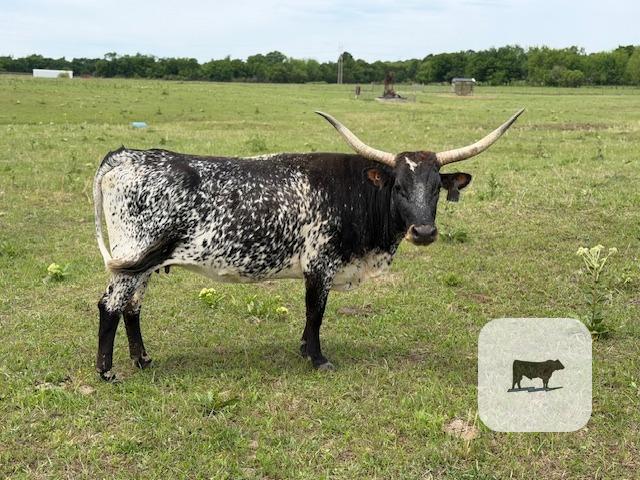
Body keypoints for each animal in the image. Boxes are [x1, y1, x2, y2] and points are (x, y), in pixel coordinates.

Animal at [93, 109, 524, 381]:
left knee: (132, 308)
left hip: (144, 263)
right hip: (131, 257)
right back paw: (107, 371)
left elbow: (311, 316)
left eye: (435, 187)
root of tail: (124, 156)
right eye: (399, 187)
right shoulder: (321, 263)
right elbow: (316, 312)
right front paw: (317, 359)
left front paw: (304, 350)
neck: (356, 194)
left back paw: (143, 360)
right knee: (110, 306)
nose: (423, 232)